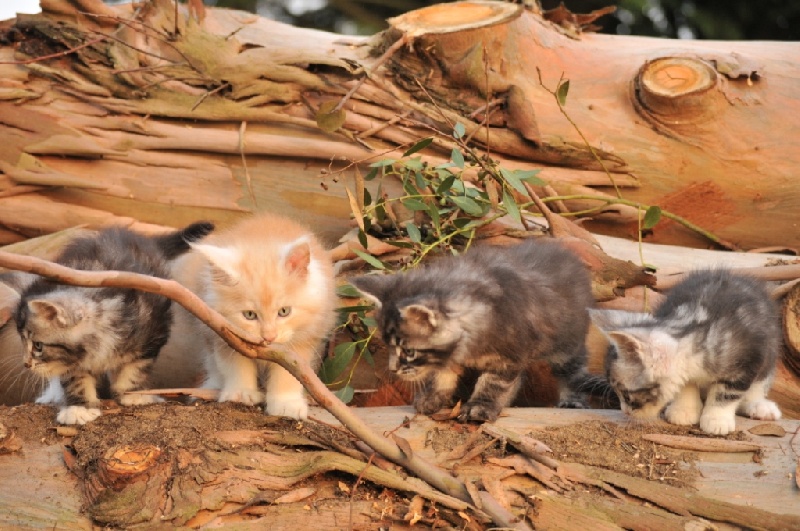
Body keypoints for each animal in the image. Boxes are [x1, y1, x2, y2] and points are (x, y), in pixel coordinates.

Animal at [15, 222, 216, 426]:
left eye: (38, 346)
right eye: (24, 342)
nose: (26, 364)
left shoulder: (152, 335)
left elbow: (135, 367)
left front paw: (132, 394)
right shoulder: (70, 360)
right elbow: (75, 380)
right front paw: (78, 408)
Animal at [172, 212, 338, 420]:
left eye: (284, 311)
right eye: (249, 315)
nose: (268, 337)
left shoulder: (304, 341)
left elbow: (288, 374)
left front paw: (286, 405)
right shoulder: (223, 336)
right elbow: (235, 366)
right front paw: (242, 394)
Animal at [354, 240, 596, 424]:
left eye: (408, 351)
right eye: (389, 346)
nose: (392, 369)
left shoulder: (509, 356)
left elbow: (494, 384)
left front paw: (481, 407)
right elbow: (440, 374)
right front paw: (431, 397)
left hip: (567, 344)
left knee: (573, 370)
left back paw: (572, 400)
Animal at [600, 270, 780, 436]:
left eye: (626, 395)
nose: (625, 411)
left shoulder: (748, 359)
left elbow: (726, 392)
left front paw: (716, 419)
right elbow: (686, 384)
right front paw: (684, 410)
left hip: (770, 352)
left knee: (759, 383)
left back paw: (759, 406)